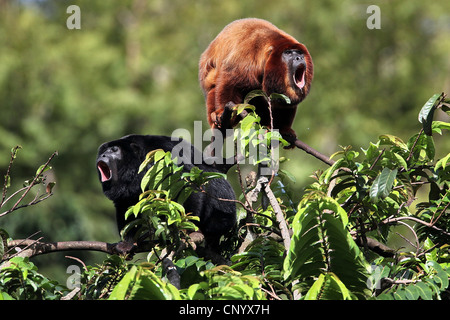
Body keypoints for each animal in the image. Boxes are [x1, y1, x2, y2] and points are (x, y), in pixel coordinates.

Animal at [199, 18, 314, 146]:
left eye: (299, 53)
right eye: (288, 53)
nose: (299, 58)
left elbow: (285, 104)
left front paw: (284, 129)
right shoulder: (247, 58)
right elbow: (229, 80)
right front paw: (220, 112)